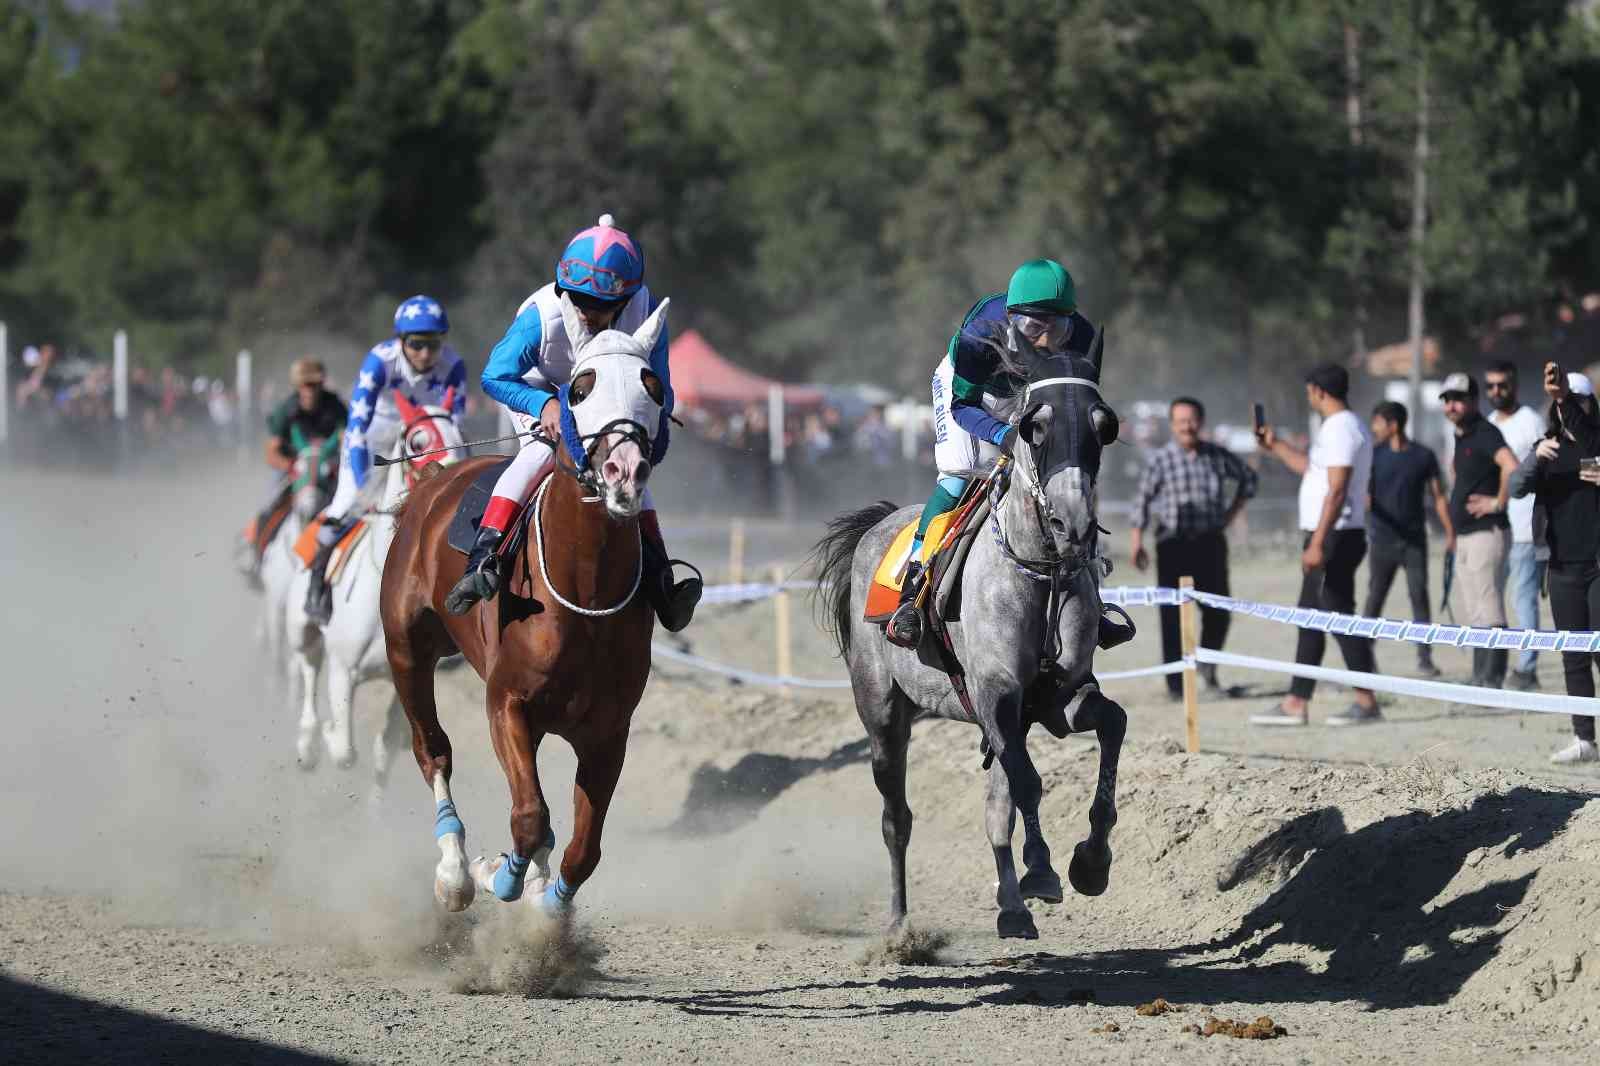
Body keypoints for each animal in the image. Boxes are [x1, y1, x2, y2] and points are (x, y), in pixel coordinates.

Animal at [284, 393, 464, 777]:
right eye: (417, 442)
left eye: (461, 432)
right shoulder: (342, 669)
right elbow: (344, 751)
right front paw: (327, 732)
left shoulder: (409, 676)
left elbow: (385, 750)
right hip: (301, 631)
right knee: (308, 668)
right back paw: (307, 740)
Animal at [380, 300, 668, 915]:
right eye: (580, 387)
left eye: (652, 384)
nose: (624, 472)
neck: (584, 595)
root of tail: (435, 481)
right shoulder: (507, 704)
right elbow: (530, 816)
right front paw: (497, 875)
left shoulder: (609, 729)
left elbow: (583, 848)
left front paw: (550, 908)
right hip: (406, 649)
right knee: (431, 748)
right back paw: (455, 872)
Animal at [812, 352, 1126, 934]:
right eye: (1035, 426)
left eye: (1104, 425)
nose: (1072, 525)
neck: (1040, 572)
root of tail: (874, 528)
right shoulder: (996, 695)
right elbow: (1027, 784)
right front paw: (1042, 869)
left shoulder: (1054, 699)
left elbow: (1109, 726)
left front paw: (1090, 864)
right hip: (882, 714)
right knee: (897, 817)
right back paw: (899, 924)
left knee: (995, 807)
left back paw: (1011, 907)